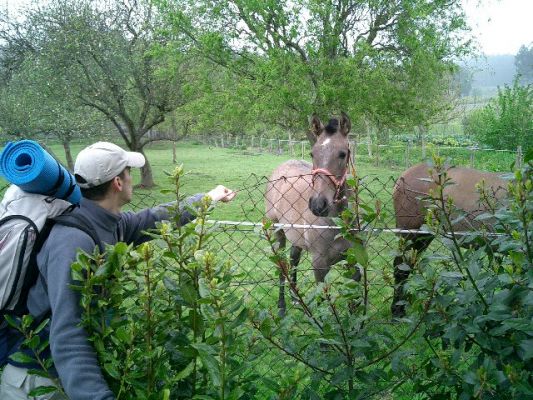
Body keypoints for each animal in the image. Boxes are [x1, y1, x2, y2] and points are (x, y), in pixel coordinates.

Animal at [264, 112, 356, 316]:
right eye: (312, 153)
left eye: (342, 154)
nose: (318, 205)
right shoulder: (320, 265)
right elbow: (323, 301)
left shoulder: (354, 260)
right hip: (277, 233)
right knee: (282, 266)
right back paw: (282, 307)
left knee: (294, 259)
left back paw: (295, 299)